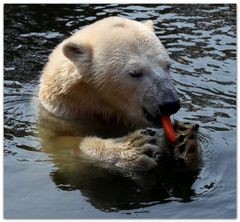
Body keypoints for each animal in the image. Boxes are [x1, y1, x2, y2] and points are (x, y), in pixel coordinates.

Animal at [39, 16, 182, 173]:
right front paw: (136, 148)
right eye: (135, 73)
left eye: (167, 65)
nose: (170, 104)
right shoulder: (61, 117)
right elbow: (61, 146)